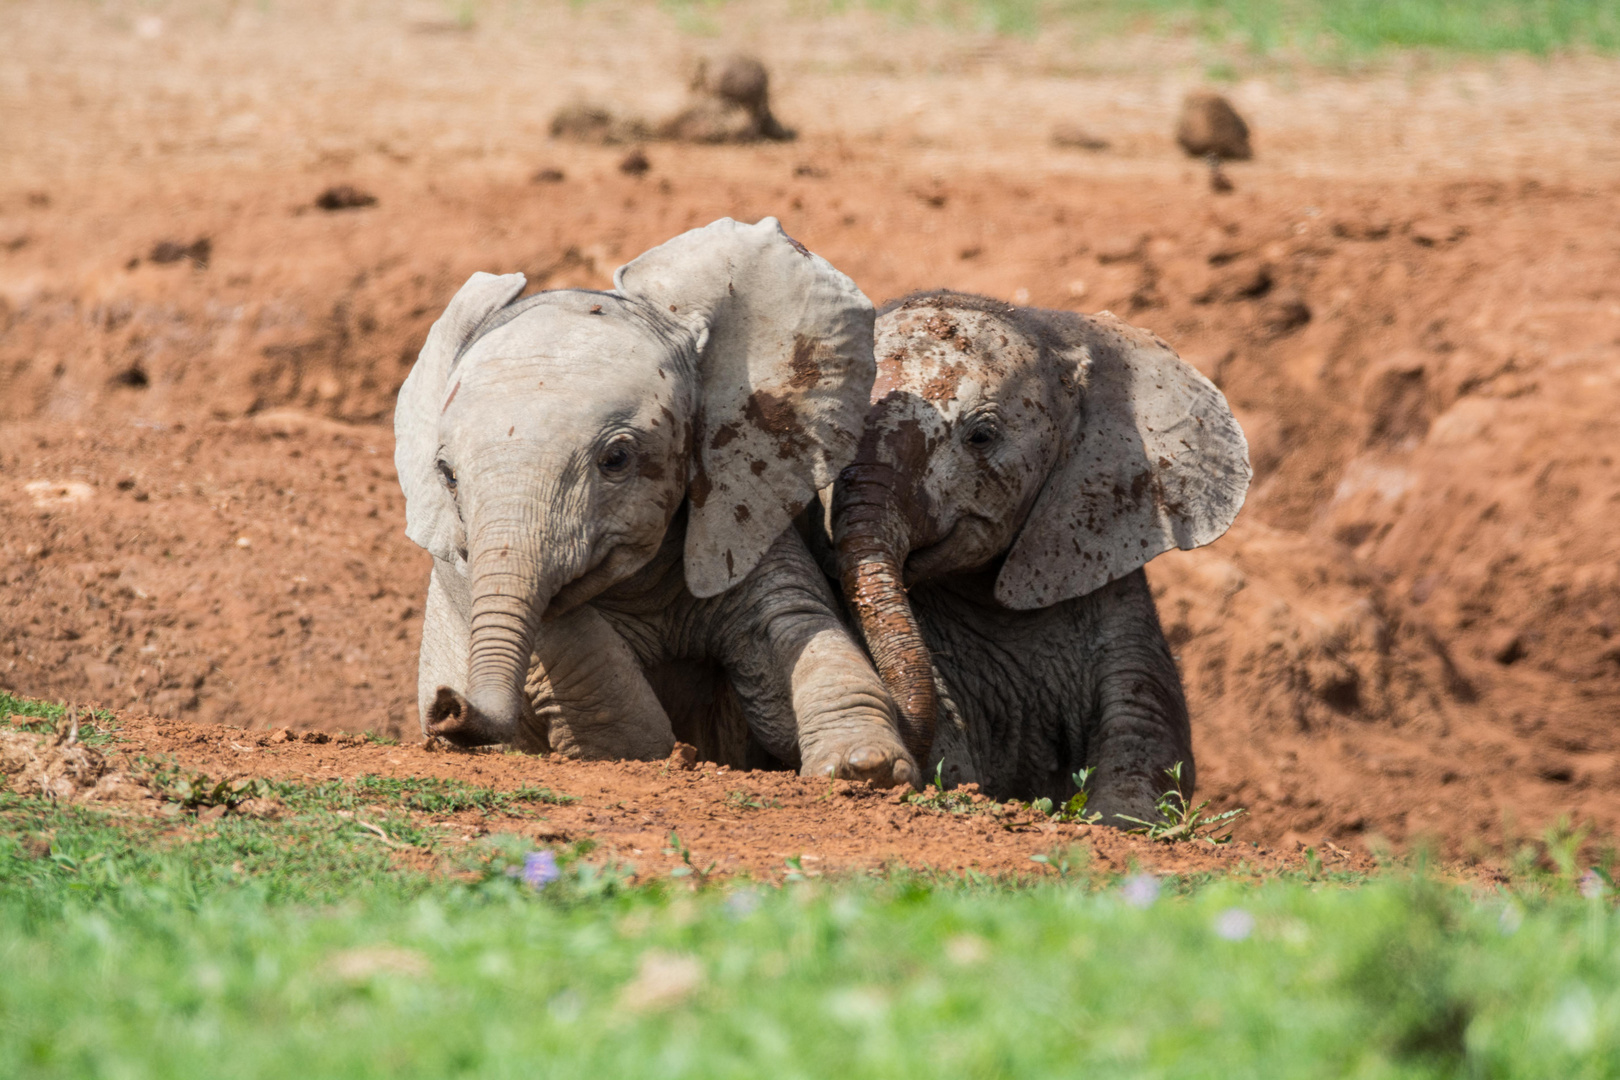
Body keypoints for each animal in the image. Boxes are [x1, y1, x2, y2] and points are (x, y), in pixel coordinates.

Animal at [398, 216, 920, 786]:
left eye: (616, 459)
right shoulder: (460, 558)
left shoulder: (741, 506)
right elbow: (587, 666)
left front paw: (864, 768)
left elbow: (794, 624)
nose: (447, 707)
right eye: (447, 476)